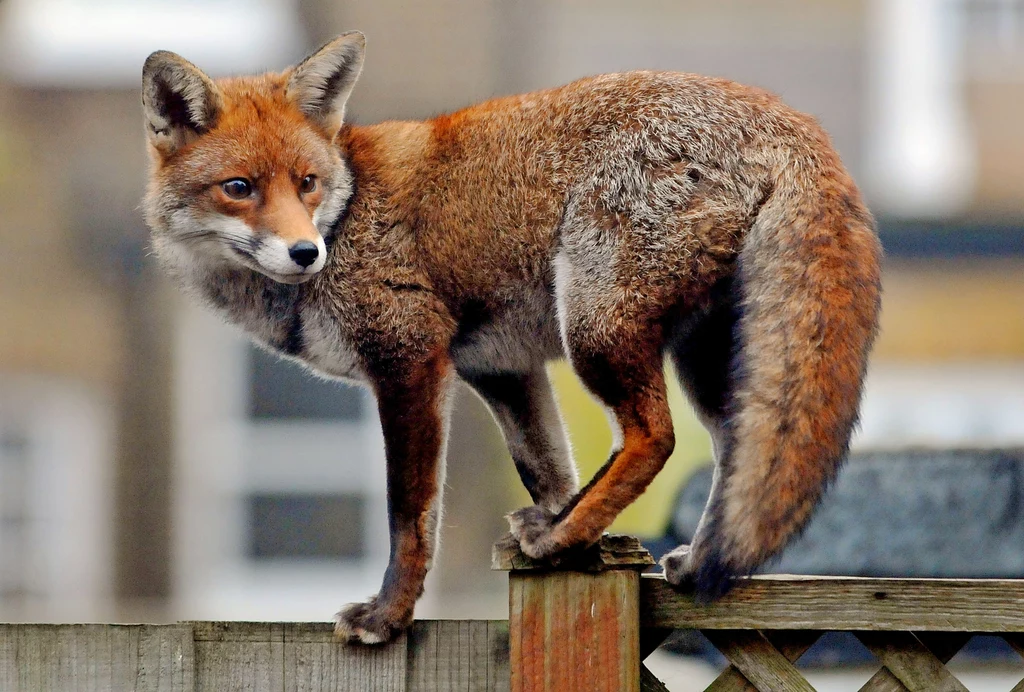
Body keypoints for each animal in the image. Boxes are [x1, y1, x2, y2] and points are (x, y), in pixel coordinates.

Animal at [142, 31, 880, 642]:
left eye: (307, 184)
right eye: (239, 187)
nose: (304, 253)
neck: (348, 215)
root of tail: (783, 116)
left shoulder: (410, 360)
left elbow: (410, 517)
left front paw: (389, 616)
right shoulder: (501, 370)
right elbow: (546, 468)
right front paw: (579, 551)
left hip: (596, 326)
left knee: (654, 437)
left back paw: (563, 540)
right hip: (712, 364)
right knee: (734, 461)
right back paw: (687, 561)